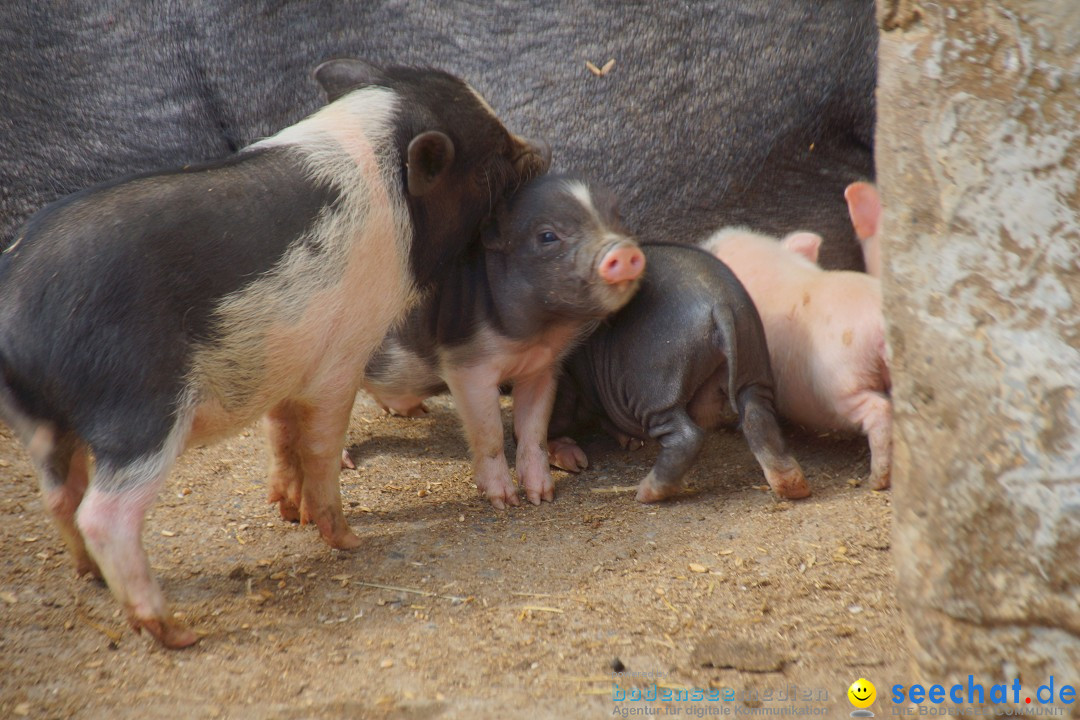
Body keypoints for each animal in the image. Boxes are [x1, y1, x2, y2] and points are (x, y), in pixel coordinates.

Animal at [0, 59, 548, 651]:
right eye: (492, 154)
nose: (540, 150)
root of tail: (15, 305)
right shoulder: (341, 356)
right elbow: (321, 446)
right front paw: (347, 538)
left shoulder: (285, 358)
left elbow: (282, 433)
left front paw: (289, 513)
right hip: (138, 409)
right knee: (105, 514)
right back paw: (176, 632)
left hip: (39, 425)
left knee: (60, 496)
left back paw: (91, 577)